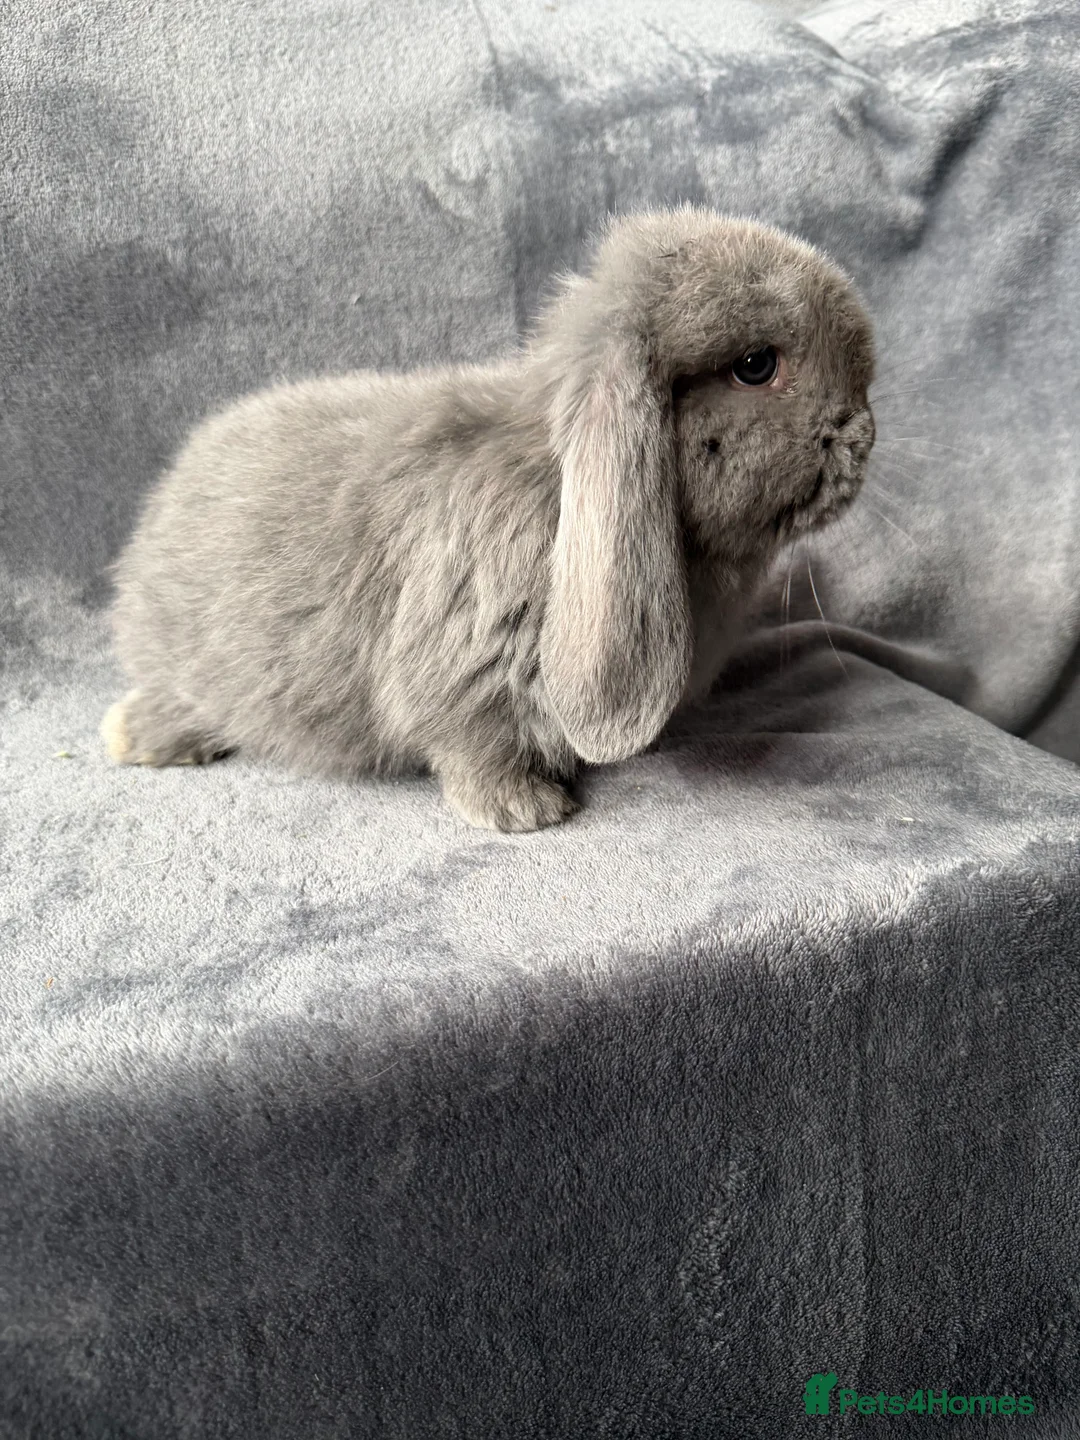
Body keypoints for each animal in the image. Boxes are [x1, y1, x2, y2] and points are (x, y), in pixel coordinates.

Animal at [101, 204, 875, 832]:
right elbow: (471, 742)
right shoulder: (464, 669)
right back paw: (132, 737)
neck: (559, 488)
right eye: (756, 365)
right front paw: (523, 811)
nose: (863, 433)